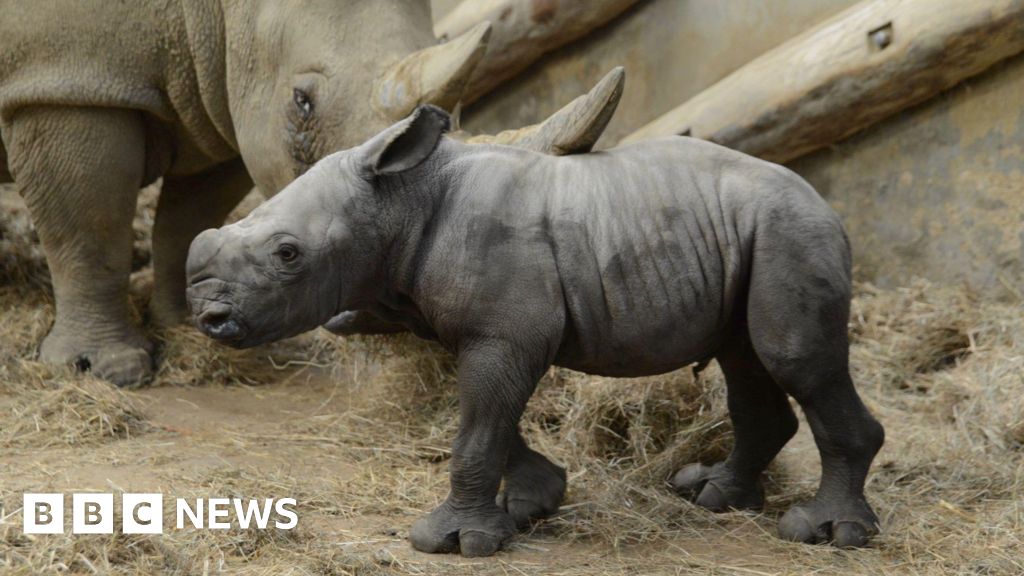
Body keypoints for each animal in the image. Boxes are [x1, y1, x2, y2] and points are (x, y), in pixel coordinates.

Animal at [0, 0, 623, 386]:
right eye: (302, 103)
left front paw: (185, 326)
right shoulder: (65, 80)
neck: (209, 13)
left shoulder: (217, 97)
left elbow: (187, 219)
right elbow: (89, 227)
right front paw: (101, 371)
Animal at [185, 106, 886, 556]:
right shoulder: (485, 331)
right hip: (754, 234)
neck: (399, 198)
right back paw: (711, 496)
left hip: (791, 231)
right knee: (743, 358)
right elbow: (486, 419)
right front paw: (531, 505)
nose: (209, 318)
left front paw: (453, 543)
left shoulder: (504, 333)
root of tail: (828, 205)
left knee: (793, 359)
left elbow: (478, 427)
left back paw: (825, 535)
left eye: (287, 254)